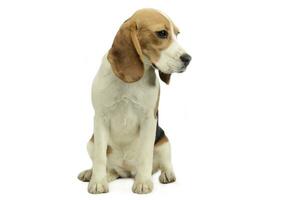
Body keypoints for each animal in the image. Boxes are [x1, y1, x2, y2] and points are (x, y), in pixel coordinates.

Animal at [78, 8, 191, 194]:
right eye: (162, 33)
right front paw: (98, 182)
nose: (188, 59)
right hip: (90, 142)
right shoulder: (100, 118)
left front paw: (143, 182)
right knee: (108, 167)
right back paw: (94, 173)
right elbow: (100, 157)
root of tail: (126, 171)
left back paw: (167, 174)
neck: (129, 83)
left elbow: (145, 154)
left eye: (177, 34)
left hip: (164, 142)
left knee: (164, 163)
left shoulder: (149, 120)